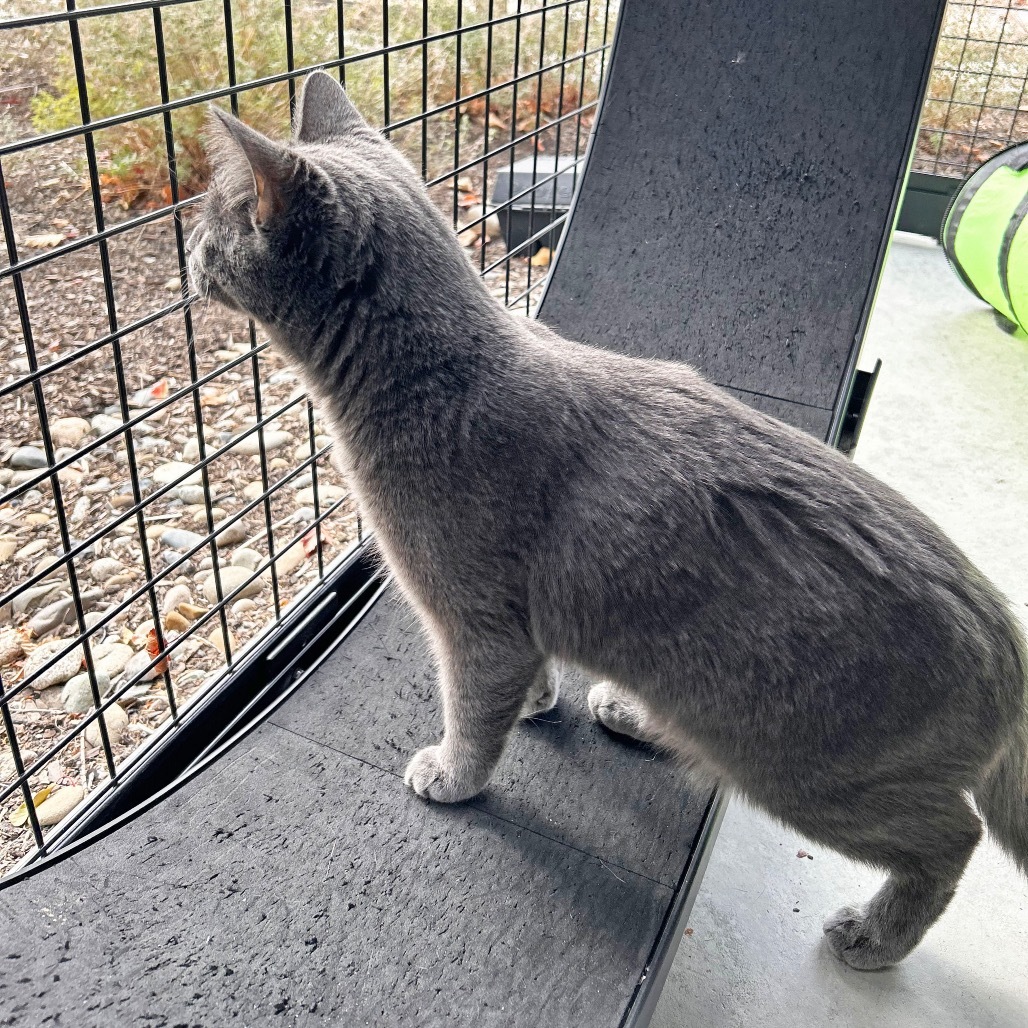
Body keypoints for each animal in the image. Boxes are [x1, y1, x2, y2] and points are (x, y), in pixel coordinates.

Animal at [187, 72, 1028, 970]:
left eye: (210, 221)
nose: (188, 252)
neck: (432, 380)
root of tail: (1007, 638)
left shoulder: (475, 622)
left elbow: (471, 711)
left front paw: (452, 774)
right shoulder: (517, 626)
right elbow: (524, 680)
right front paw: (535, 704)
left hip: (808, 767)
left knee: (953, 840)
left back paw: (875, 933)